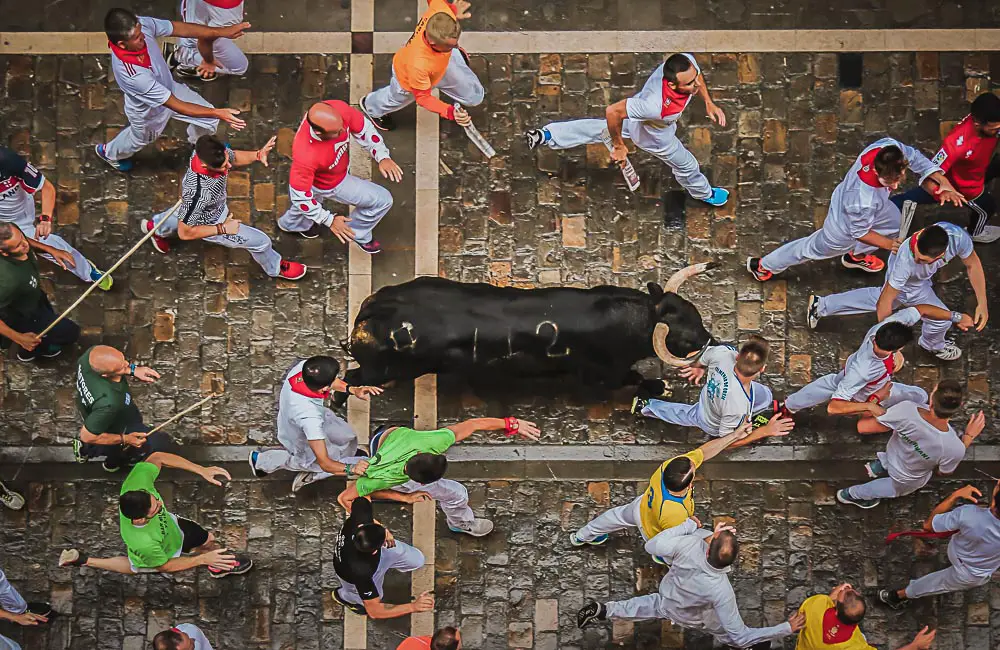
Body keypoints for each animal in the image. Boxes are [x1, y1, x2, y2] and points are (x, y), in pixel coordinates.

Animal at [344, 262, 720, 390]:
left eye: (695, 313)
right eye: (685, 336)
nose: (711, 339)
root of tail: (372, 311)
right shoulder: (601, 376)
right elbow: (636, 381)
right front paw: (659, 387)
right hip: (383, 370)